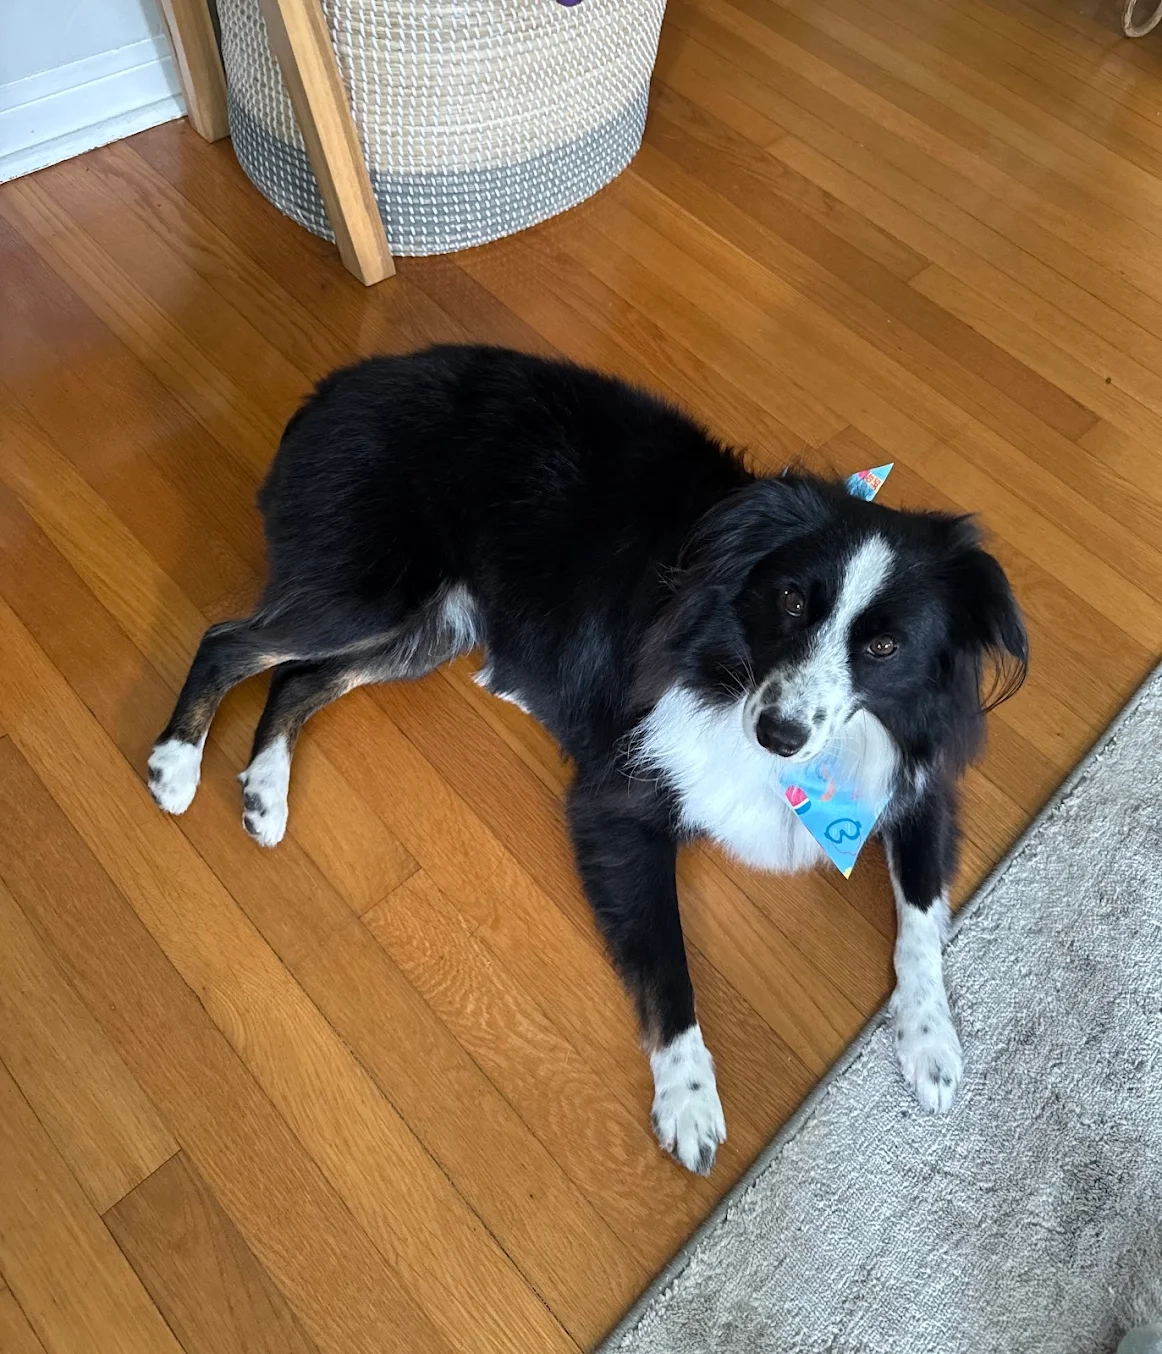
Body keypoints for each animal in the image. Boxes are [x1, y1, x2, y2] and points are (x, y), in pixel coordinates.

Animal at [148, 345, 1027, 1175]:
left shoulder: (919, 787)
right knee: (229, 642)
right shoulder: (619, 802)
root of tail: (336, 385)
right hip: (374, 596)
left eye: (883, 647)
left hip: (424, 629)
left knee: (295, 678)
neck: (725, 661)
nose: (778, 734)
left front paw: (931, 1040)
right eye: (787, 601)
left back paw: (265, 792)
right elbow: (670, 966)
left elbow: (922, 922)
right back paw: (176, 765)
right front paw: (688, 1099)